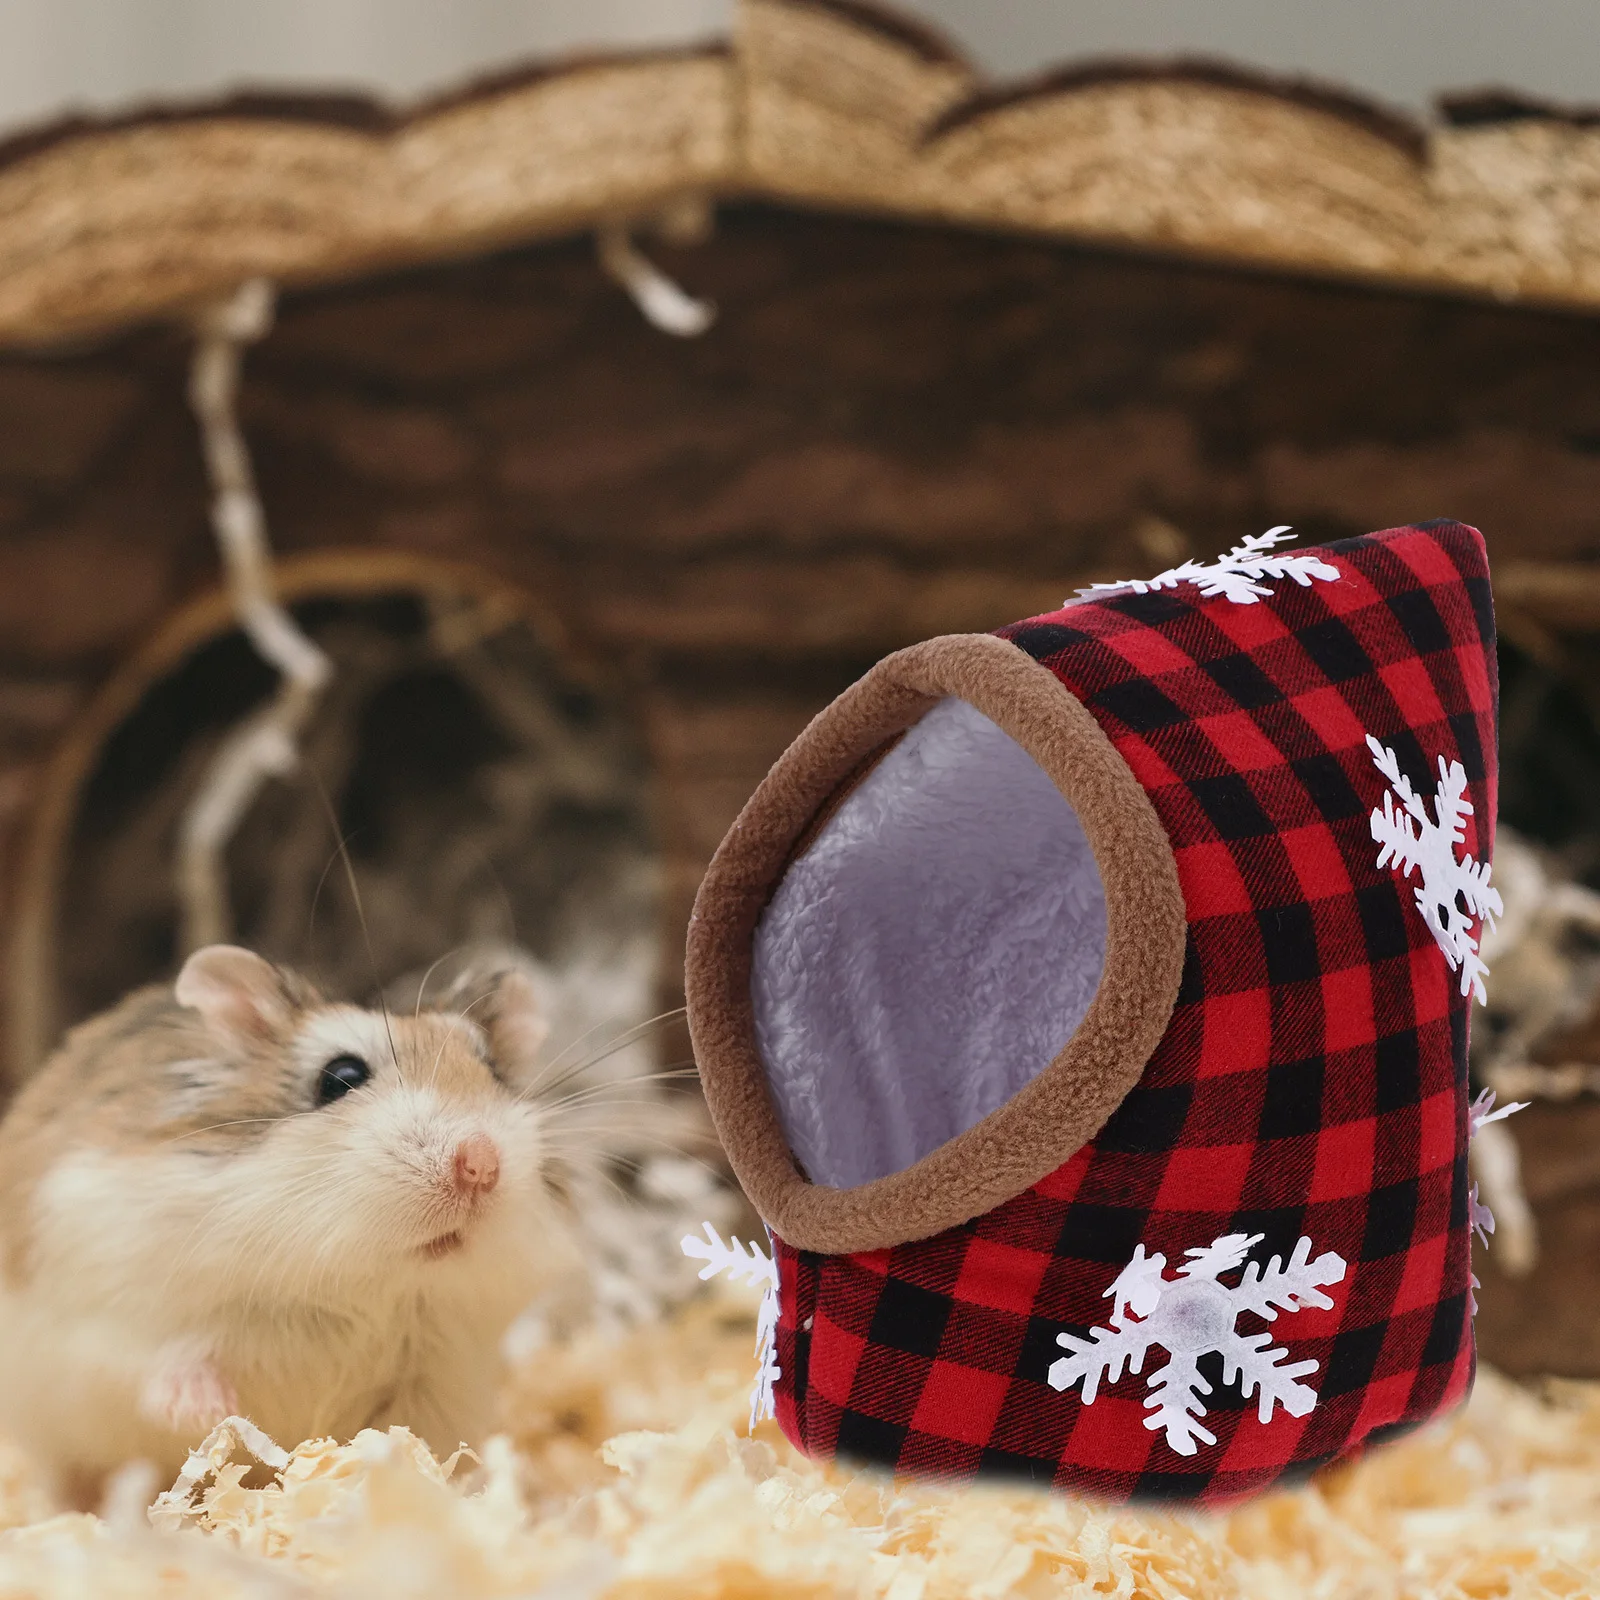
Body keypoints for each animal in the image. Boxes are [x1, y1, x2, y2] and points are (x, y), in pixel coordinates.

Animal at [0, 944, 580, 1506]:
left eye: (495, 1073)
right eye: (341, 1077)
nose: (481, 1165)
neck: (359, 1284)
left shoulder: (440, 1380)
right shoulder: (108, 1307)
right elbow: (158, 1361)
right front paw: (207, 1411)